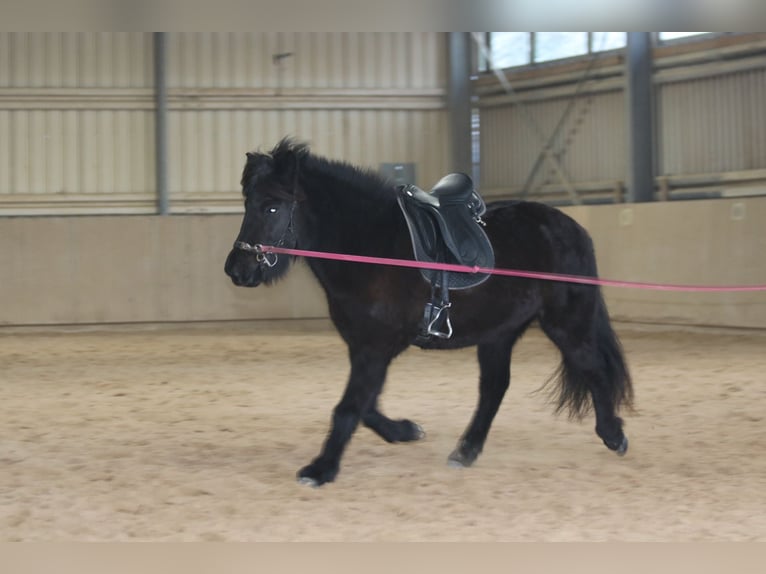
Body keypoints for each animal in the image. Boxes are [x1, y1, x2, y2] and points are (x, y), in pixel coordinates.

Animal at [224, 137, 633, 487]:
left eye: (272, 206)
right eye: (247, 204)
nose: (236, 270)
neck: (371, 248)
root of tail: (571, 227)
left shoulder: (375, 347)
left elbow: (349, 407)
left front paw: (320, 469)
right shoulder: (367, 347)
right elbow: (366, 405)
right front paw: (404, 430)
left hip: (566, 324)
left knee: (593, 368)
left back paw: (613, 435)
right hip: (499, 332)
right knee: (494, 387)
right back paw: (466, 450)